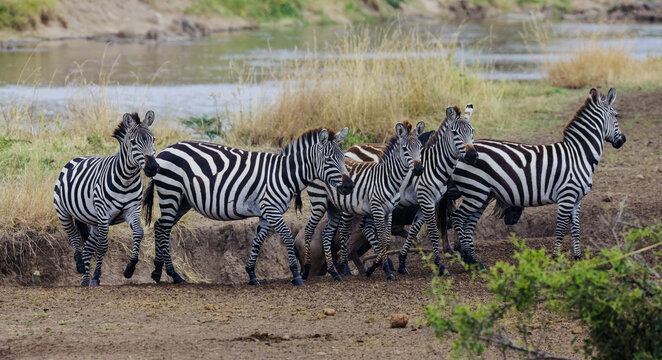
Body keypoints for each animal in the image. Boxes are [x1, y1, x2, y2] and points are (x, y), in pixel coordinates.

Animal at [53, 111, 160, 286]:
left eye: (154, 139)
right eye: (133, 142)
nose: (152, 167)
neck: (126, 180)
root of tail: (76, 159)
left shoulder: (132, 210)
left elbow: (138, 233)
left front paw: (130, 268)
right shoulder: (104, 213)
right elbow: (103, 246)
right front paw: (96, 276)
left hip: (95, 221)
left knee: (88, 248)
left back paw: (85, 281)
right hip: (64, 213)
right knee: (74, 237)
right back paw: (80, 265)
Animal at [143, 128, 356, 286]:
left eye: (343, 158)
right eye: (329, 160)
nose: (349, 186)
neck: (283, 175)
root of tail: (165, 150)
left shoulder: (266, 214)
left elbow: (257, 242)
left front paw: (251, 274)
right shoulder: (272, 210)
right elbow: (287, 236)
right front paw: (296, 274)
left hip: (182, 201)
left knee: (160, 226)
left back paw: (158, 271)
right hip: (171, 192)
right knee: (164, 227)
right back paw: (173, 274)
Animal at [304, 121, 428, 282]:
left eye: (419, 147)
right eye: (405, 149)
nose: (419, 169)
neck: (388, 178)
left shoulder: (389, 212)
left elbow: (386, 241)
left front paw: (374, 268)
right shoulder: (377, 209)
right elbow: (381, 241)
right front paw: (386, 270)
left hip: (334, 207)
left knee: (326, 234)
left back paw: (334, 272)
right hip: (318, 201)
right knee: (309, 229)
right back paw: (306, 271)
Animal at [344, 104, 480, 276]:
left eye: (472, 131)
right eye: (455, 133)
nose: (473, 155)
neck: (435, 164)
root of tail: (349, 149)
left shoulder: (431, 200)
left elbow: (415, 229)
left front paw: (402, 262)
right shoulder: (429, 200)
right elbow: (437, 228)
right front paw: (445, 261)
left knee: (364, 228)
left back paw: (379, 264)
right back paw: (350, 268)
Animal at [446, 88, 628, 268]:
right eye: (616, 115)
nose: (623, 140)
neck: (579, 155)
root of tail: (463, 152)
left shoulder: (577, 199)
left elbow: (576, 229)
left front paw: (578, 257)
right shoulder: (566, 196)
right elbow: (561, 228)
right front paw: (555, 258)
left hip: (481, 194)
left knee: (468, 224)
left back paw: (474, 260)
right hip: (475, 191)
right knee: (457, 218)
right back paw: (467, 258)